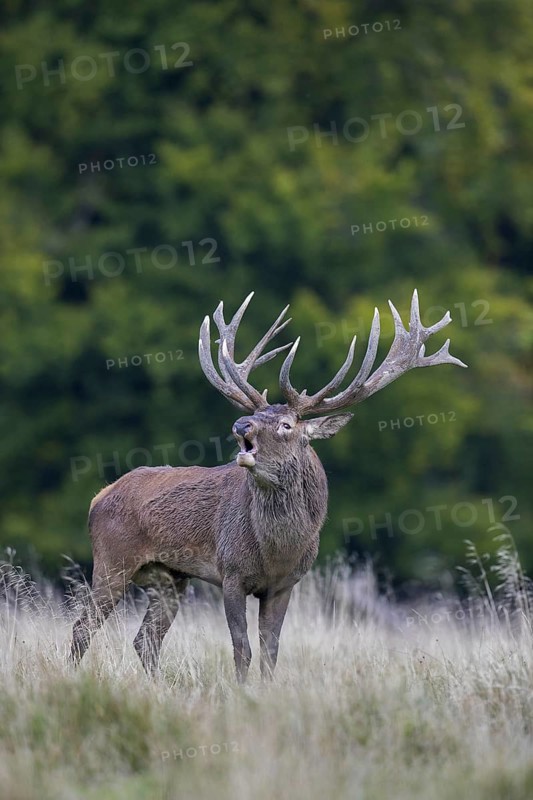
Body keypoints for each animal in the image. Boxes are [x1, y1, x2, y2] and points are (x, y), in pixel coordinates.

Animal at [70, 290, 466, 682]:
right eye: (256, 415)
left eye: (286, 425)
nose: (240, 425)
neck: (277, 552)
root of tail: (97, 498)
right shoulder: (231, 572)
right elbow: (241, 649)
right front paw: (242, 690)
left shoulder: (285, 584)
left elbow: (270, 651)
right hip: (113, 559)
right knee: (83, 627)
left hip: (169, 577)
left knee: (145, 639)